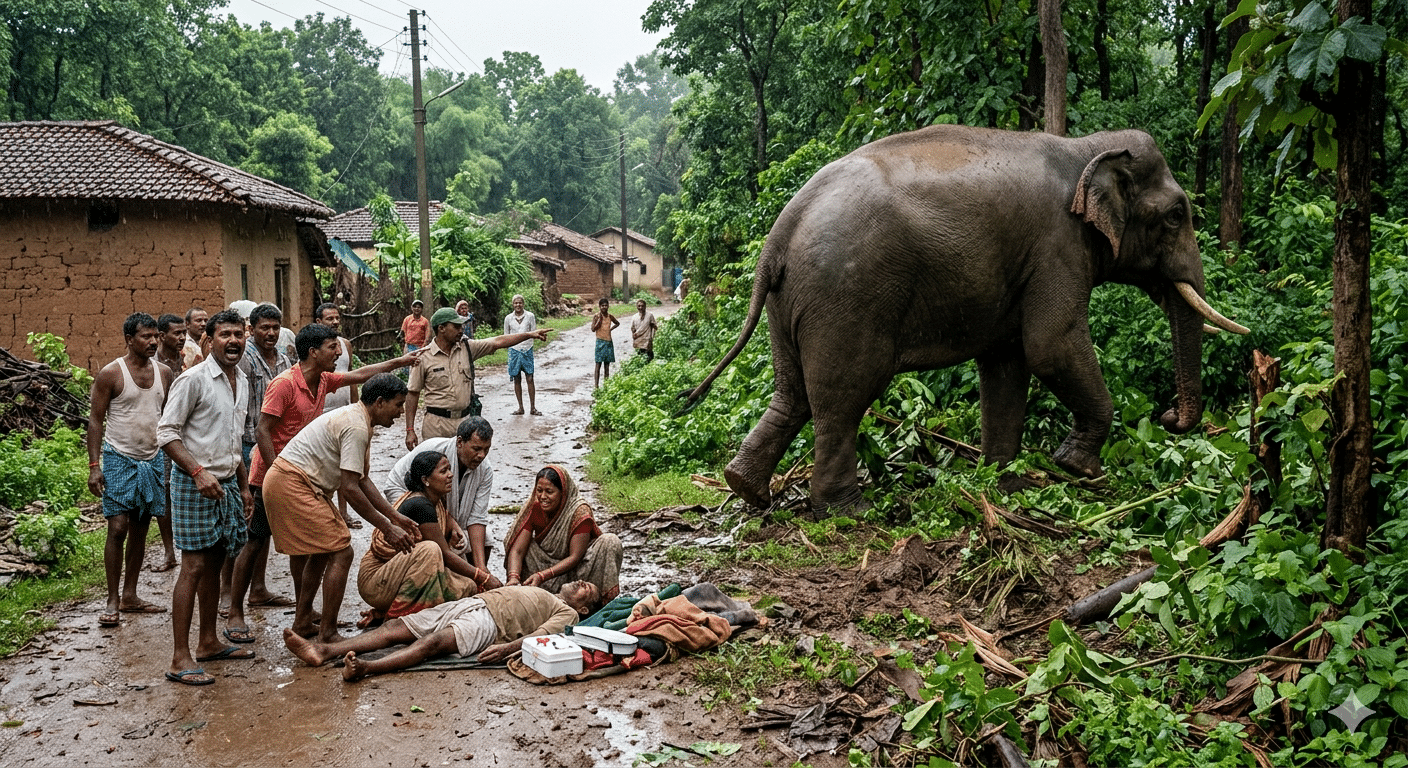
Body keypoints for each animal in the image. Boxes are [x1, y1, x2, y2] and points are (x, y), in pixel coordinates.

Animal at [682, 125, 1249, 512]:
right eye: (1176, 215)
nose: (1170, 419)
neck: (1086, 147)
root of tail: (778, 234)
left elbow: (1008, 364)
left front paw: (1004, 485)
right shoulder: (1058, 249)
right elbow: (1051, 344)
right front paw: (1077, 469)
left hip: (792, 304)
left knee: (793, 392)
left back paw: (745, 487)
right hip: (845, 300)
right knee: (844, 397)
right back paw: (852, 509)